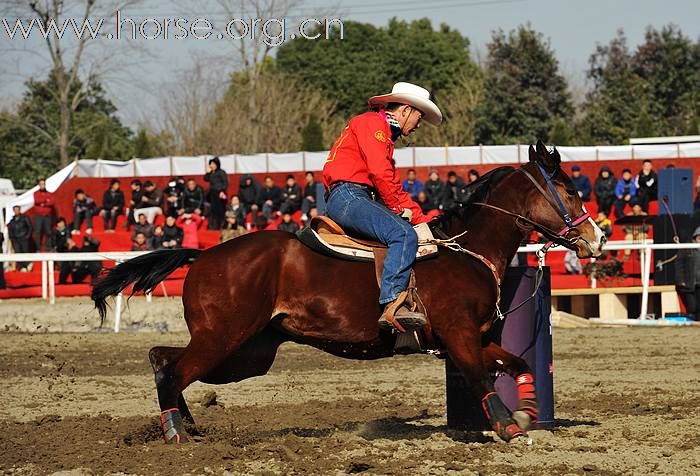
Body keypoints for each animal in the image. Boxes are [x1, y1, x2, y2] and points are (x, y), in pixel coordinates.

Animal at [91, 140, 608, 442]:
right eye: (566, 188)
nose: (597, 238)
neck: (466, 250)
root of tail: (202, 256)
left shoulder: (474, 339)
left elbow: (518, 363)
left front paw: (526, 413)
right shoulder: (459, 337)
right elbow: (481, 378)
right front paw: (506, 427)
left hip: (247, 354)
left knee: (163, 360)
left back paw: (187, 424)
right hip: (224, 340)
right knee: (174, 371)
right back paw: (176, 435)